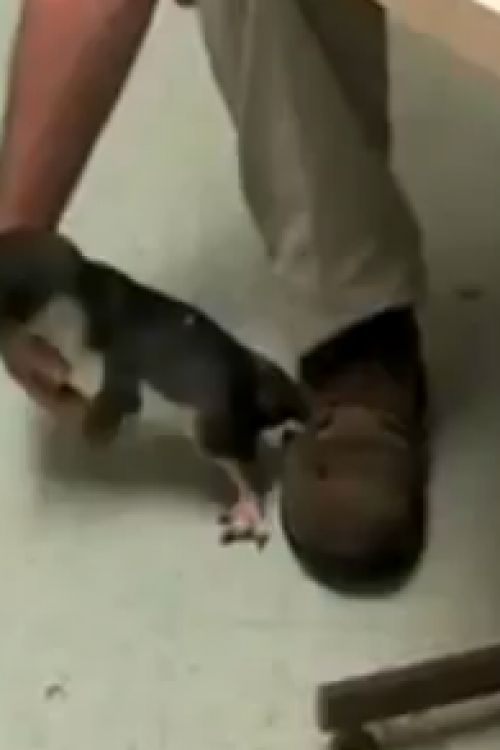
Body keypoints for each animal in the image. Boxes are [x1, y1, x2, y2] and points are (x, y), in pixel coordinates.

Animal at [0, 229, 309, 547]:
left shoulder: (117, 364)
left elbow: (119, 396)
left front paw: (97, 431)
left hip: (213, 426)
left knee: (250, 470)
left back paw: (246, 518)